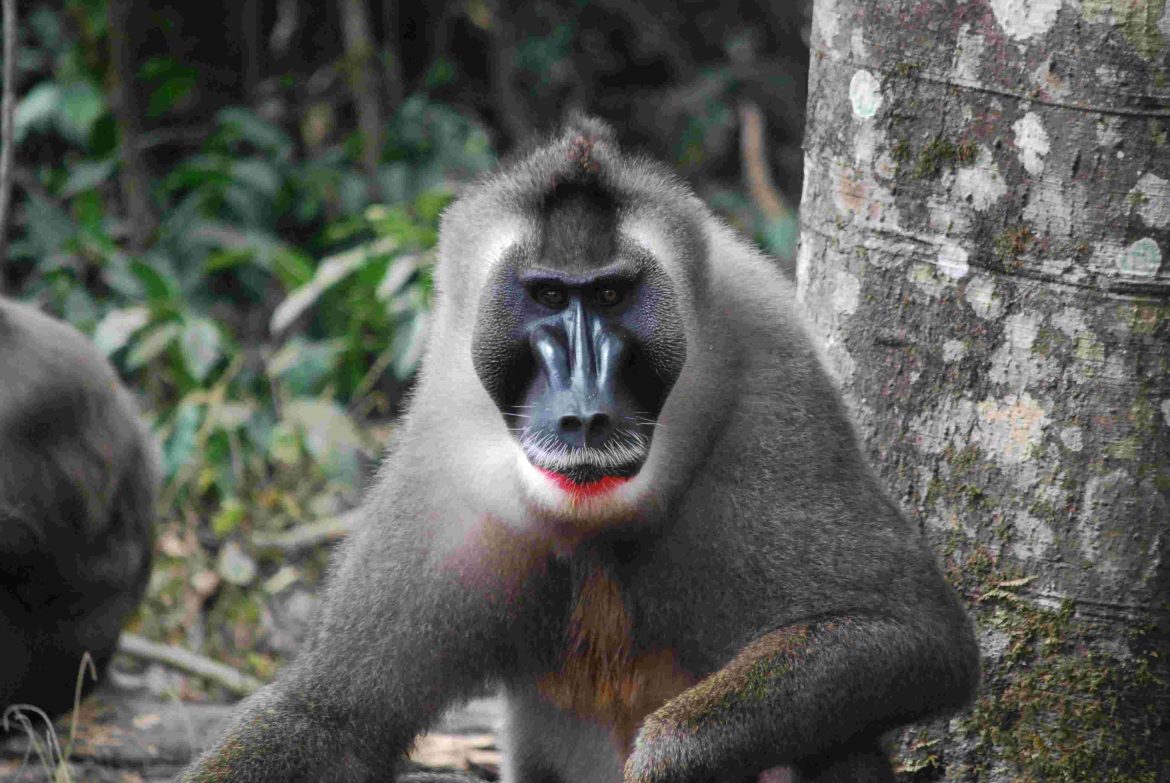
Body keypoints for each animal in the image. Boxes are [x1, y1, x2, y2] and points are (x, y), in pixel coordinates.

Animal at [180, 117, 979, 783]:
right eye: (547, 296)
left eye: (612, 296)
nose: (585, 414)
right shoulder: (442, 473)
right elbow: (326, 717)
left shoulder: (775, 390)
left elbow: (913, 634)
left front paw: (668, 760)